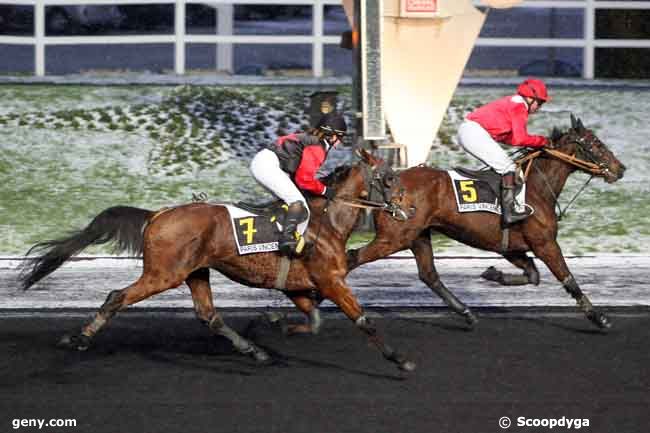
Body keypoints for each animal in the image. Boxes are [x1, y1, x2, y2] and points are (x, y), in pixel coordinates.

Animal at [20, 149, 416, 372]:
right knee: (117, 296)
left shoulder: (301, 287)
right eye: (389, 177)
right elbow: (363, 320)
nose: (410, 209)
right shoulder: (332, 281)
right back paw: (80, 338)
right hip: (163, 274)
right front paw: (401, 359)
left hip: (196, 272)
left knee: (208, 315)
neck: (328, 221)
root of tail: (158, 214)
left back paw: (254, 351)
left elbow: (314, 319)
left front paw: (274, 323)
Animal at [344, 113, 624, 330]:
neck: (536, 186)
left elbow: (532, 275)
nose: (620, 169)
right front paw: (598, 317)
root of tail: (385, 183)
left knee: (429, 275)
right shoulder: (545, 244)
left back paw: (466, 312)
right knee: (351, 258)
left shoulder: (511, 247)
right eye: (596, 144)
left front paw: (494, 274)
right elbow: (568, 279)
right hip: (393, 238)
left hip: (418, 236)